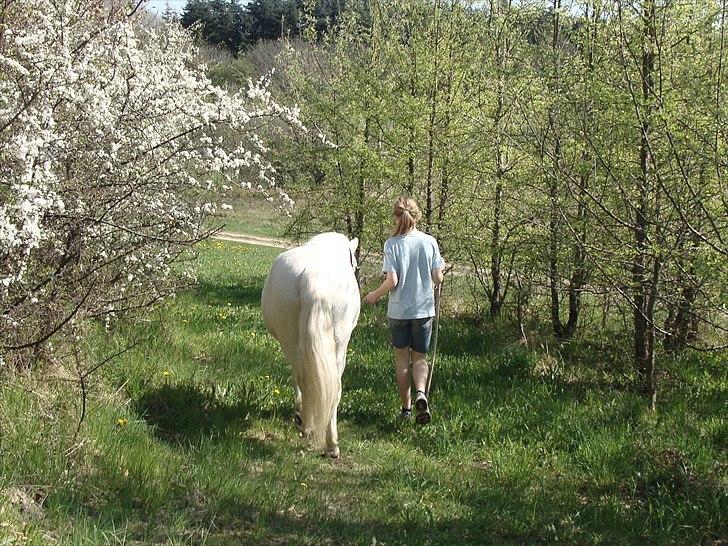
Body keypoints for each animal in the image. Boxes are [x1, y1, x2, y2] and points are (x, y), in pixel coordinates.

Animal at [264, 230, 362, 454]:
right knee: (331, 387)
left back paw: (307, 426)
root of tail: (313, 276)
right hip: (338, 346)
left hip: (291, 343)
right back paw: (330, 443)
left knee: (303, 378)